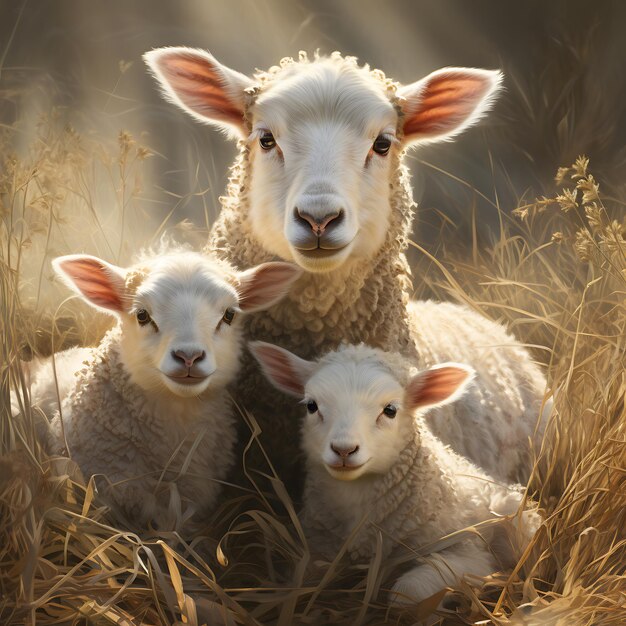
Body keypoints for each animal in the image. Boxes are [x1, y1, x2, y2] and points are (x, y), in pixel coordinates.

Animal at [249, 342, 536, 604]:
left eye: (390, 410)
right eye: (311, 405)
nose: (344, 449)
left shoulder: (468, 550)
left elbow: (408, 592)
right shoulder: (319, 546)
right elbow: (298, 580)